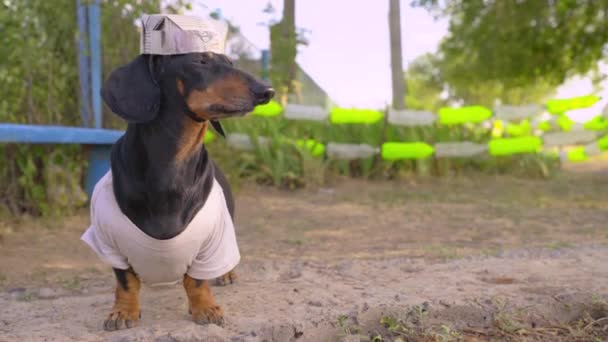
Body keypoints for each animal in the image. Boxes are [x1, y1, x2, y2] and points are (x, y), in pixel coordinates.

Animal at [83, 52, 276, 330]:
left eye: (230, 62)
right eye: (201, 61)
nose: (267, 91)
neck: (172, 165)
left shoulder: (210, 242)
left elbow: (196, 280)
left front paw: (205, 308)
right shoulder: (109, 242)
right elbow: (126, 281)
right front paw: (123, 311)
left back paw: (226, 274)